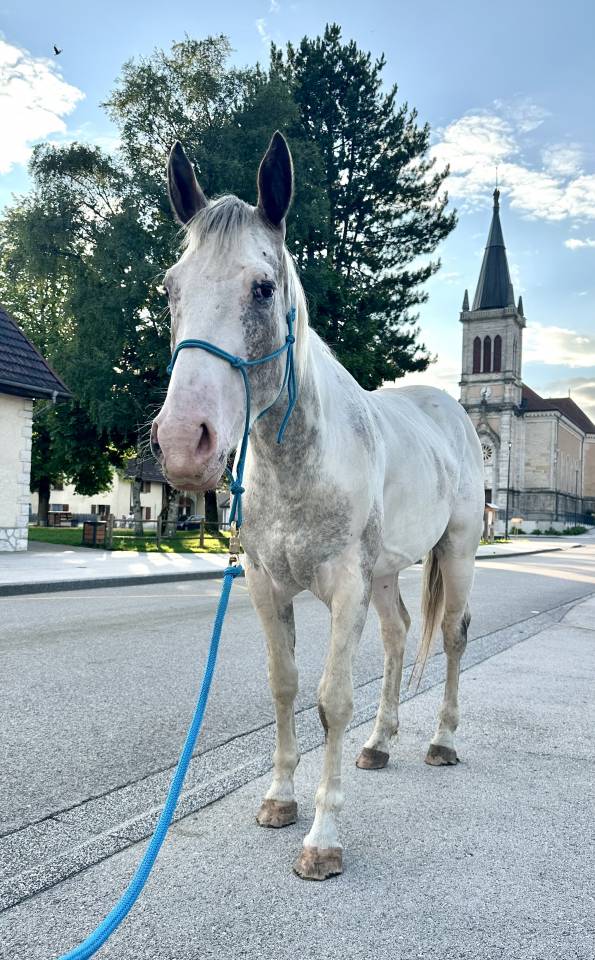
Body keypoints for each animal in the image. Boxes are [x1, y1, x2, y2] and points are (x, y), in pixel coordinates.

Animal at [151, 131, 485, 881]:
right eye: (170, 289)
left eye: (262, 287)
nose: (185, 442)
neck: (299, 462)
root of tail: (449, 409)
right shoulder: (266, 585)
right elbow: (284, 685)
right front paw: (280, 800)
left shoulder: (344, 587)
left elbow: (332, 699)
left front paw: (323, 838)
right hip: (387, 573)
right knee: (397, 637)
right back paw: (381, 742)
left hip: (455, 551)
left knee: (451, 635)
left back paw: (442, 741)